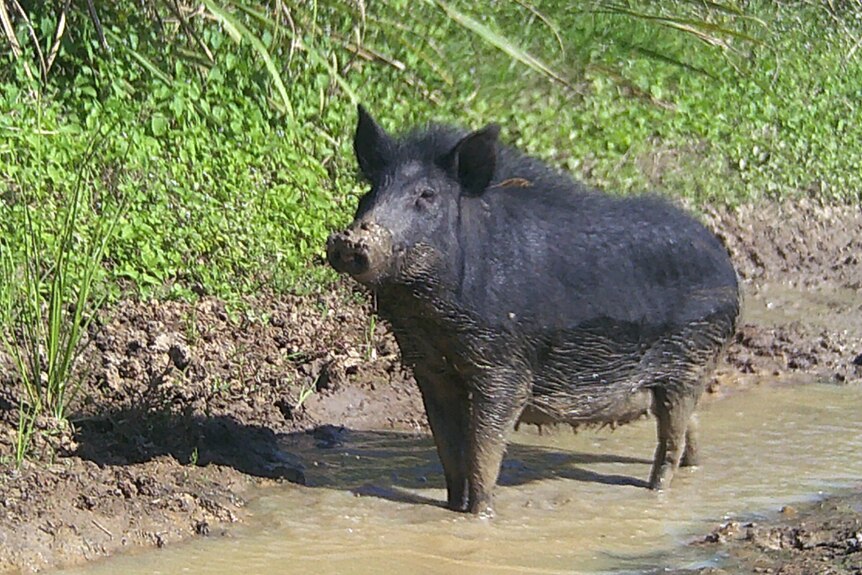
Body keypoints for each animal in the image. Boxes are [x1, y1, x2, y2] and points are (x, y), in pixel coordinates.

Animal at [328, 107, 740, 516]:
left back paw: (656, 491)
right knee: (691, 430)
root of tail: (726, 264)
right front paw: (453, 508)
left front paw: (480, 515)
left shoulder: (504, 368)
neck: (430, 318)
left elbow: (483, 454)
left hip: (689, 362)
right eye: (370, 192)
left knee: (671, 441)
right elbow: (449, 452)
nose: (351, 239)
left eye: (426, 195)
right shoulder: (430, 369)